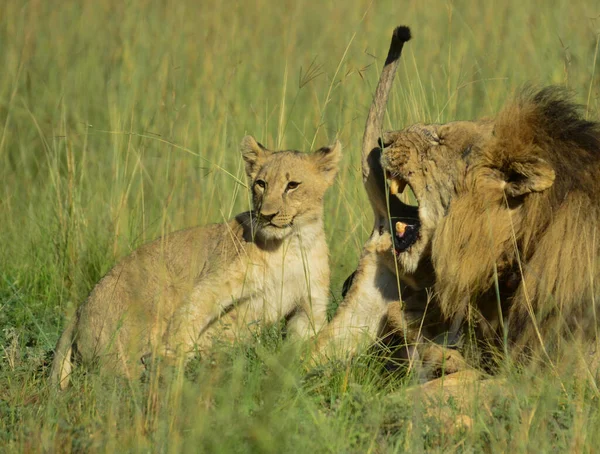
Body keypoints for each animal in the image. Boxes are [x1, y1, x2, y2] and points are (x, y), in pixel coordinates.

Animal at [50, 137, 342, 388]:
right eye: (261, 183)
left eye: (292, 185)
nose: (267, 215)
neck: (292, 244)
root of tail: (80, 310)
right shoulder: (214, 281)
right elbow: (190, 315)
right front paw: (174, 360)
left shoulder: (309, 305)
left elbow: (302, 343)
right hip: (124, 351)